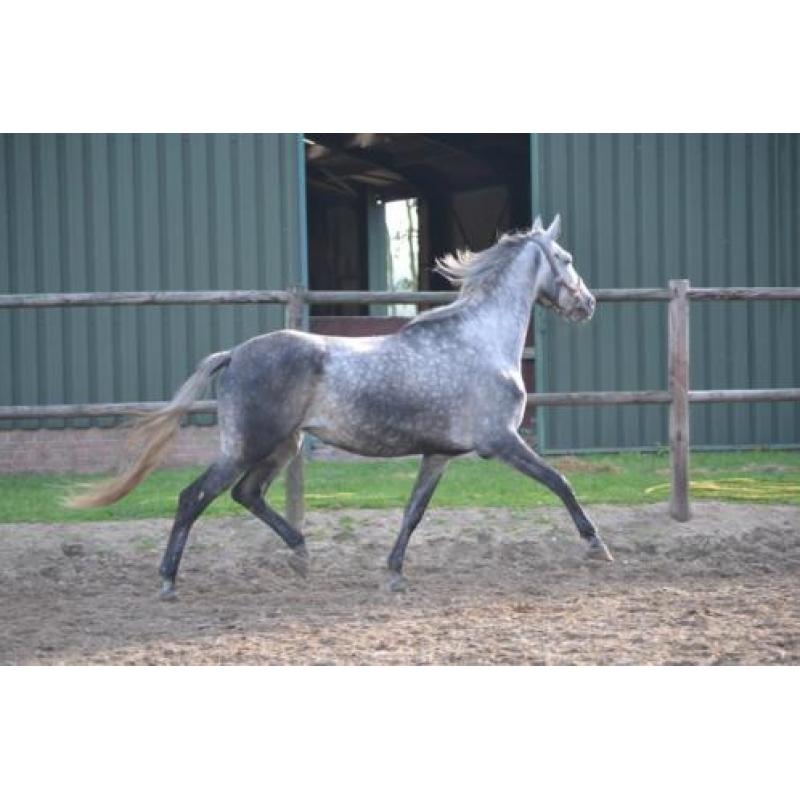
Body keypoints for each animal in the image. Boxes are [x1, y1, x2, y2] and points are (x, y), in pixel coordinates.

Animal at [68, 214, 612, 599]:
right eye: (565, 257)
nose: (588, 304)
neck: (481, 340)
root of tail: (235, 354)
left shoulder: (438, 454)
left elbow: (413, 512)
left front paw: (393, 574)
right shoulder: (499, 441)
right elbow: (560, 482)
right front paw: (597, 547)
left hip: (283, 446)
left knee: (247, 495)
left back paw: (301, 554)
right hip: (248, 446)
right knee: (193, 498)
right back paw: (169, 582)